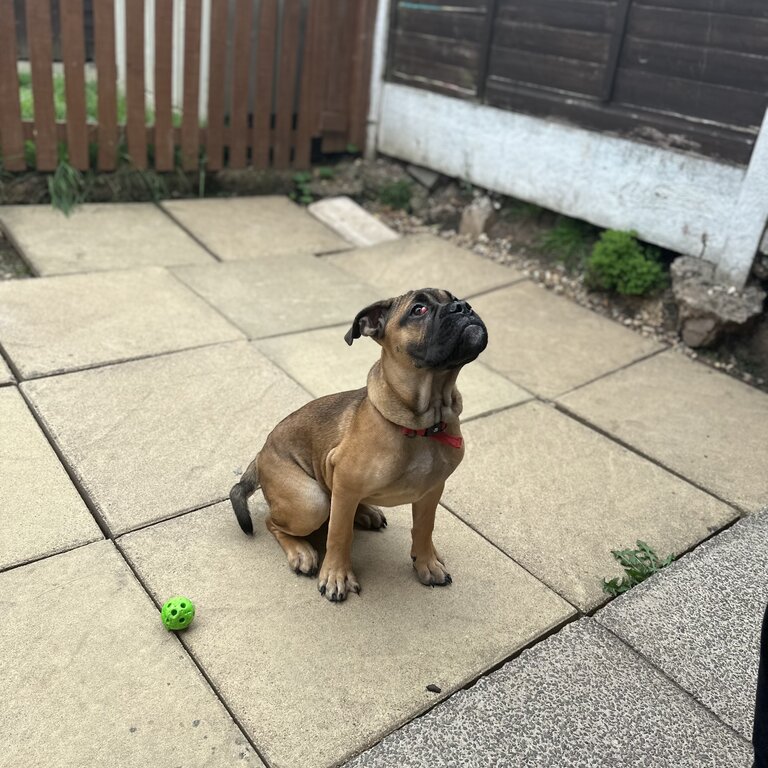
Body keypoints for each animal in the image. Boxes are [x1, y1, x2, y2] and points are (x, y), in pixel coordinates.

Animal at [231, 288, 488, 600]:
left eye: (454, 297)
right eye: (419, 310)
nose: (463, 307)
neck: (423, 426)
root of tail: (260, 454)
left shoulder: (431, 491)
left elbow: (425, 527)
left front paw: (426, 562)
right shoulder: (345, 481)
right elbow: (339, 534)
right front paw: (336, 575)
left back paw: (366, 513)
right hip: (310, 502)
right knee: (276, 521)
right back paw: (301, 552)